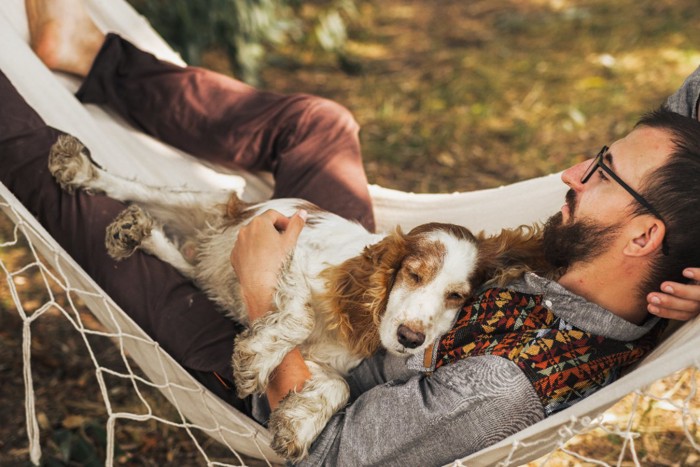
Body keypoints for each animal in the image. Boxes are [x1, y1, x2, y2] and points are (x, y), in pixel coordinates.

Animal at [49, 134, 552, 460]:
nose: (411, 339)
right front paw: (254, 358)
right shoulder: (293, 252)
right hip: (222, 210)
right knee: (140, 190)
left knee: (186, 264)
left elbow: (338, 386)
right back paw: (83, 174)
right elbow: (298, 316)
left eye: (455, 296)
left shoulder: (324, 360)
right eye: (412, 274)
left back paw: (140, 233)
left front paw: (297, 424)